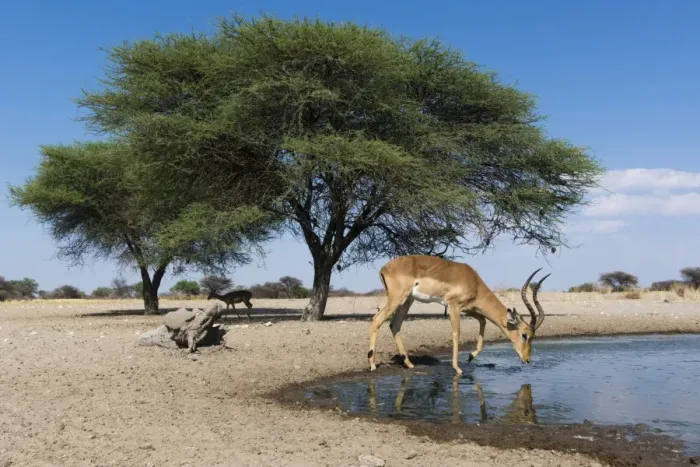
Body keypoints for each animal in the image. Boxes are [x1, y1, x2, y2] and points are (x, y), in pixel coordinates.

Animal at [367, 255, 550, 375]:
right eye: (525, 335)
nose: (527, 359)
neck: (474, 282)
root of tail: (385, 267)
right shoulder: (454, 306)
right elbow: (457, 333)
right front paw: (457, 368)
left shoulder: (469, 309)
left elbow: (483, 321)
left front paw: (470, 356)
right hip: (397, 298)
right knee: (377, 320)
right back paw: (373, 365)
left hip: (408, 300)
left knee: (394, 324)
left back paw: (409, 364)